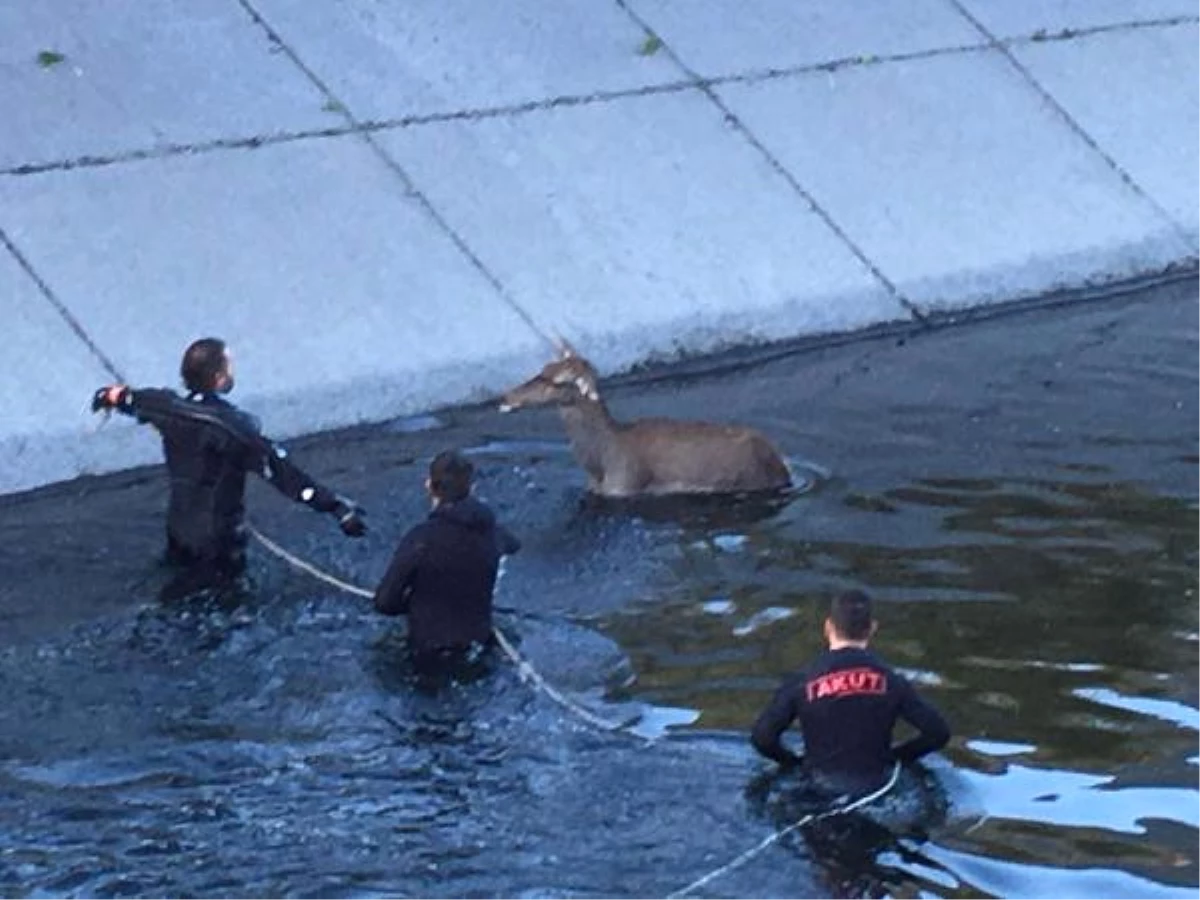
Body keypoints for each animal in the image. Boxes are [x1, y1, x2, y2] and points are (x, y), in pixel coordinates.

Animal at [499, 340, 796, 501]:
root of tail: (780, 463)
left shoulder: (625, 487)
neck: (600, 463)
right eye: (544, 369)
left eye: (557, 381)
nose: (506, 395)